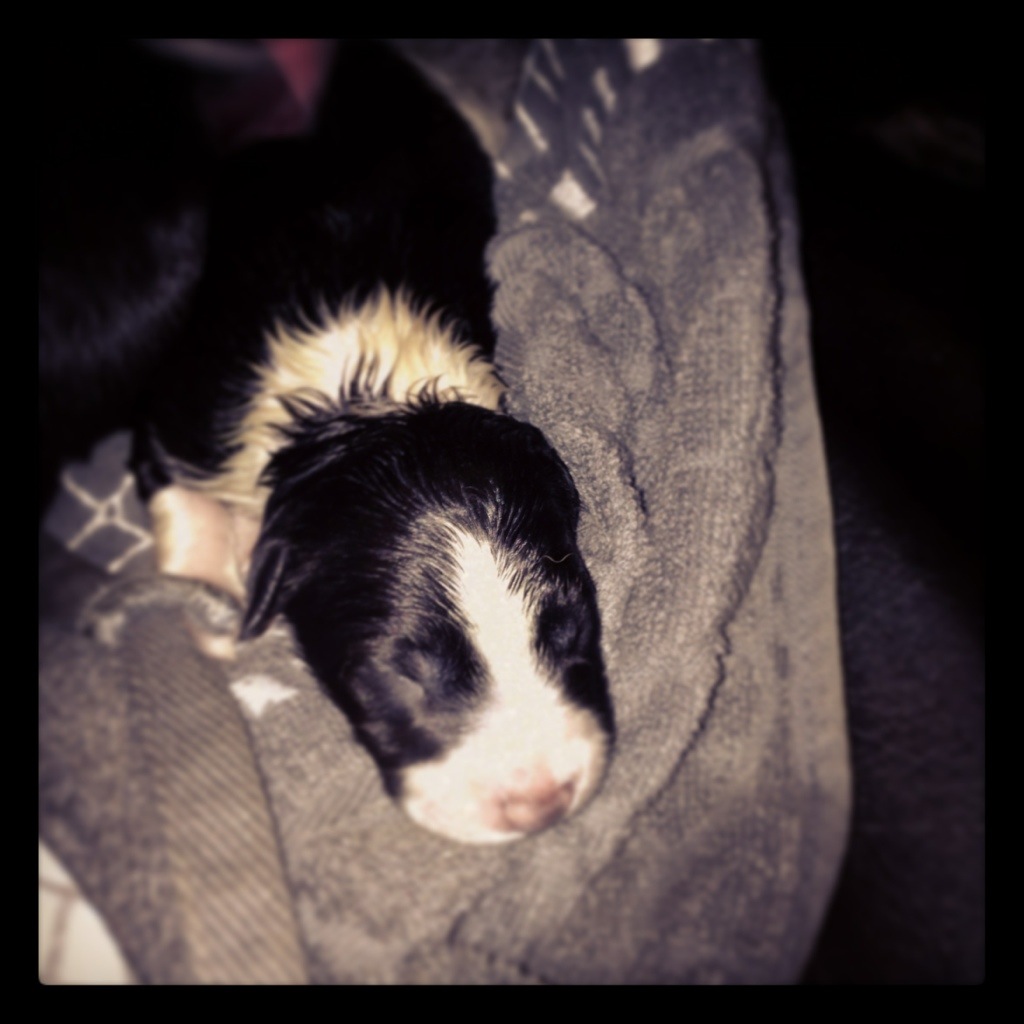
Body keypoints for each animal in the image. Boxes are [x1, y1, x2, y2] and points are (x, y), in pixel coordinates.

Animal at [129, 41, 614, 844]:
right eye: (398, 674)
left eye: (572, 627)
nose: (541, 801)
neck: (361, 404)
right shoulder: (170, 435)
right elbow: (190, 529)